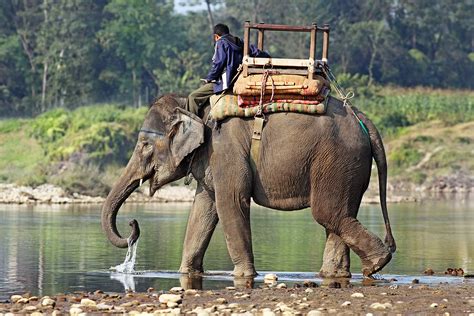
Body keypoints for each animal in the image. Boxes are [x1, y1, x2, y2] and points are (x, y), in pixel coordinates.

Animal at [103, 94, 396, 278]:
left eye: (144, 145)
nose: (133, 224)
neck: (192, 106)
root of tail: (362, 117)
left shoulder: (224, 149)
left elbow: (230, 201)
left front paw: (243, 275)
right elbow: (204, 208)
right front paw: (186, 272)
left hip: (338, 159)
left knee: (328, 213)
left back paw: (374, 266)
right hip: (348, 167)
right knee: (339, 214)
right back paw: (336, 273)